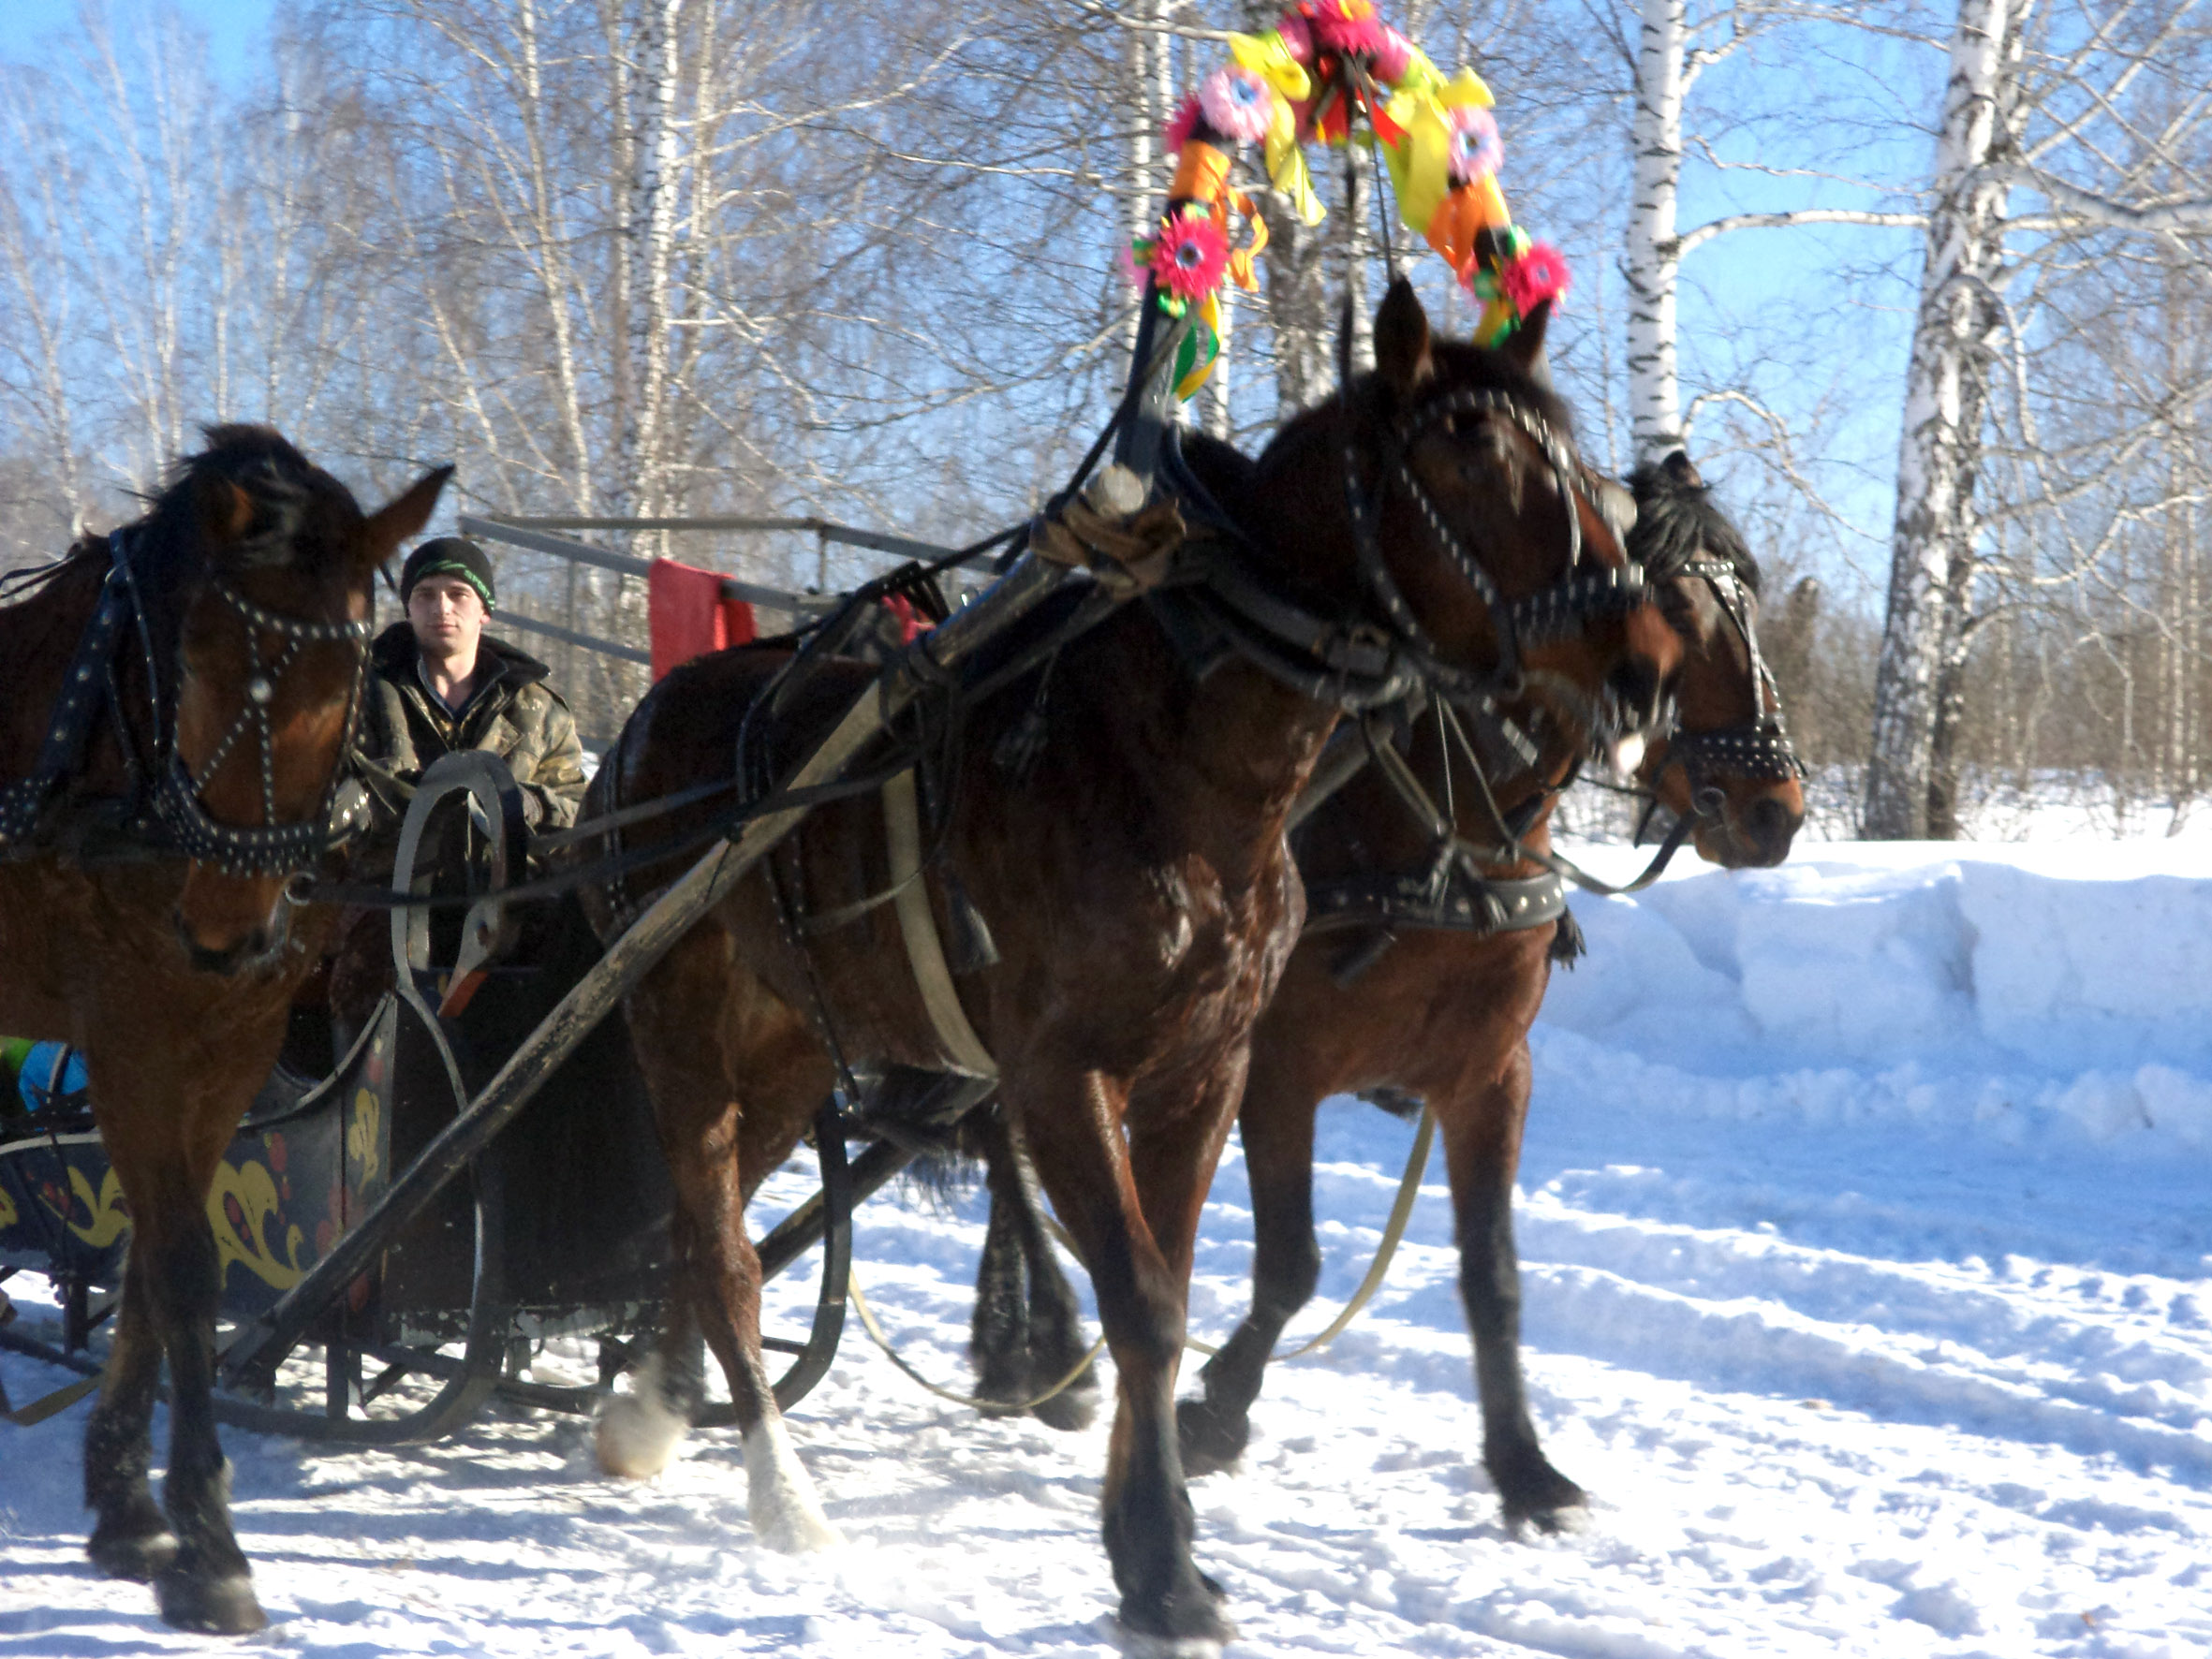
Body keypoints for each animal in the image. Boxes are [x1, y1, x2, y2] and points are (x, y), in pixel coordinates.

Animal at [0, 429, 450, 1637]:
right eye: (193, 657)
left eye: (346, 679)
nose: (228, 926)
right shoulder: (128, 1035)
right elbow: (184, 1267)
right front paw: (207, 1541)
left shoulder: (230, 1040)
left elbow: (156, 1269)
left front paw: (127, 1507)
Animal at [579, 285, 1681, 1654]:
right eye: (1471, 457)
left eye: (1591, 475)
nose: (1644, 664)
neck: (1183, 773)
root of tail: (640, 727)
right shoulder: (1075, 1074)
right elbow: (1150, 1300)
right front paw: (1162, 1560)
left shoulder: (1211, 1070)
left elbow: (1200, 1285)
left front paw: (1161, 1530)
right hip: (674, 1022)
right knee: (726, 1251)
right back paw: (785, 1485)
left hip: (784, 1051)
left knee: (701, 1220)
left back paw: (660, 1398)